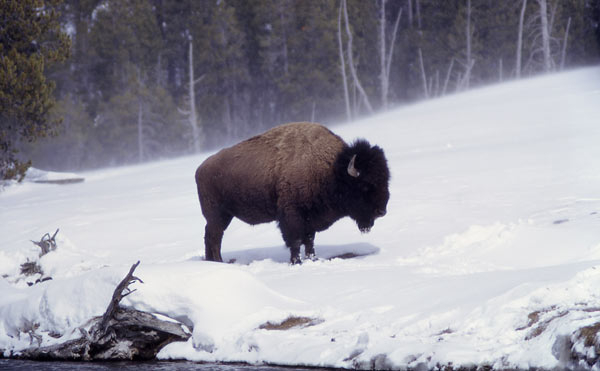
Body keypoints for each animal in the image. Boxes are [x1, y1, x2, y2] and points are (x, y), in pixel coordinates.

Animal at [195, 123, 392, 264]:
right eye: (365, 185)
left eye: (386, 179)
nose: (381, 211)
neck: (331, 170)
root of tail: (200, 169)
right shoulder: (292, 216)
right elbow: (296, 241)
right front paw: (296, 262)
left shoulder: (310, 219)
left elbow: (309, 241)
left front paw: (313, 259)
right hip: (218, 215)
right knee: (214, 237)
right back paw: (218, 262)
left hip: (223, 216)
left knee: (210, 237)